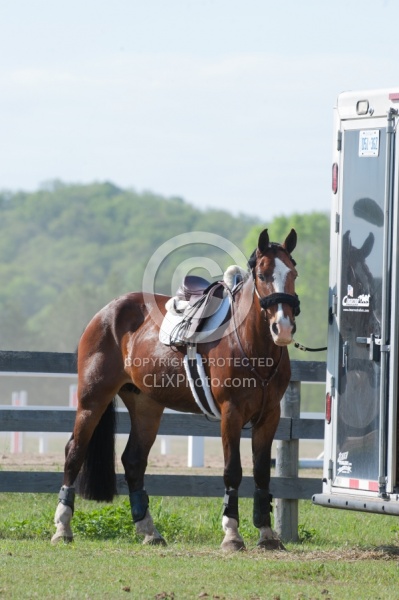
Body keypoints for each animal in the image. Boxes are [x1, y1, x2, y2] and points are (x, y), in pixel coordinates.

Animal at [50, 227, 300, 552]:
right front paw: (232, 534)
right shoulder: (231, 414)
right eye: (262, 275)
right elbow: (233, 471)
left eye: (293, 272)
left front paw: (267, 534)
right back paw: (63, 527)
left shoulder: (269, 417)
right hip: (92, 400)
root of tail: (105, 313)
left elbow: (261, 473)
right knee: (74, 453)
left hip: (146, 407)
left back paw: (148, 530)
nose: (283, 327)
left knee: (133, 462)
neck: (249, 342)